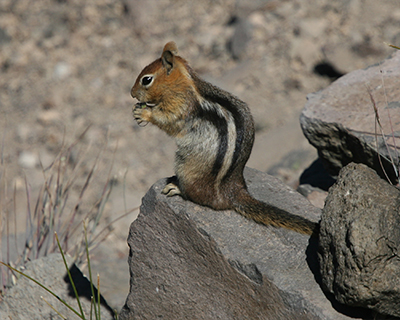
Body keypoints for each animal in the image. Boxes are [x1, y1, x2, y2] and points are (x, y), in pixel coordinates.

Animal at [131, 42, 318, 235]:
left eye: (146, 80)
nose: (131, 93)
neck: (182, 84)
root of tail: (231, 191)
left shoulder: (180, 106)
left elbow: (168, 121)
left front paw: (144, 113)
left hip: (187, 170)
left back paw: (176, 187)